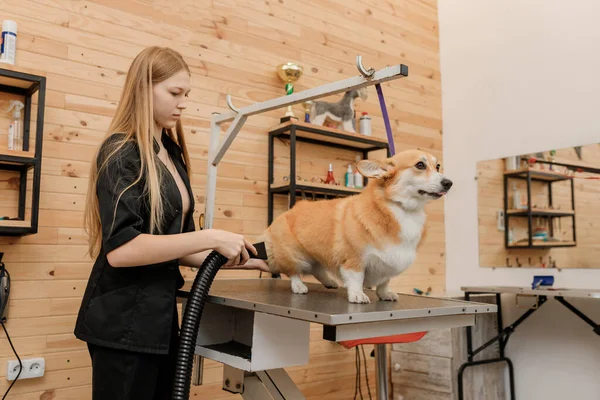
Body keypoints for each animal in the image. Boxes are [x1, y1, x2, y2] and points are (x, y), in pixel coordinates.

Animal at [260, 149, 452, 304]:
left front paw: (385, 294)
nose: (448, 183)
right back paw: (299, 285)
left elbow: (384, 281)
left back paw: (329, 282)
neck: (402, 209)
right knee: (293, 271)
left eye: (437, 166)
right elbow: (356, 278)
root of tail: (288, 212)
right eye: (420, 165)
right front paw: (358, 295)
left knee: (317, 268)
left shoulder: (390, 262)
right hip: (293, 255)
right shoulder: (354, 259)